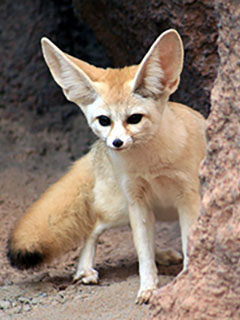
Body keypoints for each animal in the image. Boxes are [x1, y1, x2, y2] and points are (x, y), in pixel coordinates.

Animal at [7, 30, 206, 304]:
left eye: (134, 119)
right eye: (104, 120)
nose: (116, 143)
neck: (151, 164)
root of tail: (96, 151)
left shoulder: (188, 198)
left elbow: (187, 243)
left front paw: (187, 279)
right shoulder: (136, 199)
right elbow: (143, 253)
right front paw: (148, 288)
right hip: (118, 209)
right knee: (94, 227)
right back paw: (84, 270)